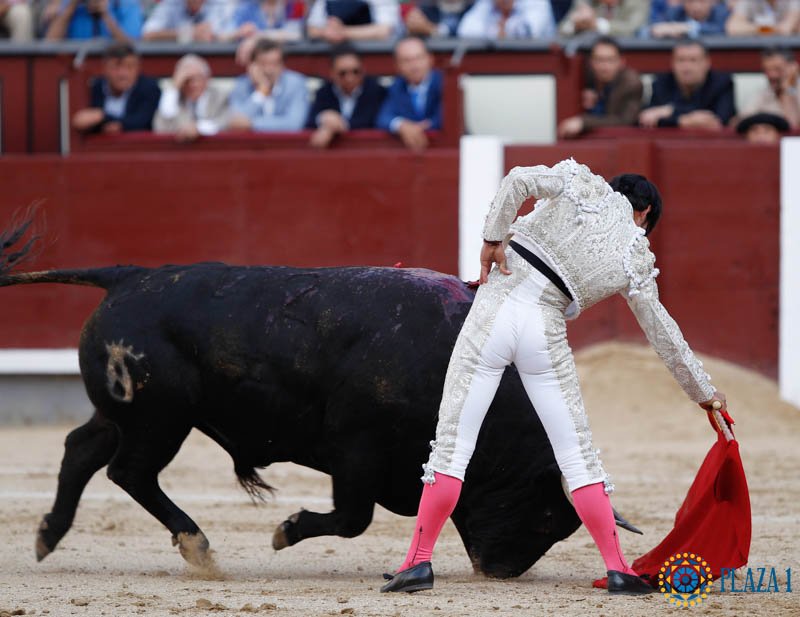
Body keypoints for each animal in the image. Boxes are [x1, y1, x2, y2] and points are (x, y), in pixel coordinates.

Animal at [0, 213, 635, 579]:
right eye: (548, 514)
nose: (499, 571)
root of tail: (128, 276)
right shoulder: (356, 448)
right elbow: (353, 518)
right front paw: (285, 532)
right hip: (162, 419)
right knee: (129, 471)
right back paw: (197, 547)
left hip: (127, 414)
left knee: (81, 449)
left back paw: (48, 536)